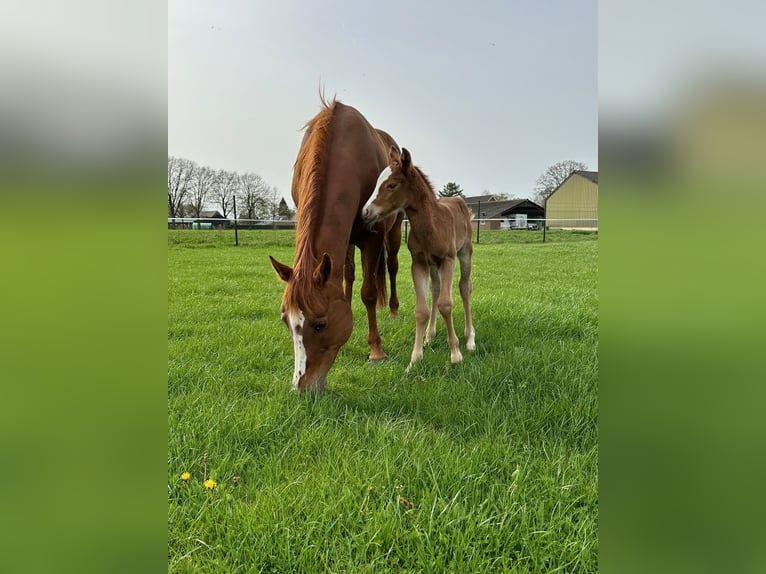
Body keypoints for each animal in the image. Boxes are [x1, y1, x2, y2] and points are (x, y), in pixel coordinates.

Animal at [268, 100, 402, 396]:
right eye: (285, 321)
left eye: (321, 324)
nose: (302, 388)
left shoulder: (373, 236)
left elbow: (369, 293)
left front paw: (376, 351)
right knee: (348, 273)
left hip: (394, 231)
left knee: (391, 268)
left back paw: (393, 310)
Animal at [362, 147, 474, 368]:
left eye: (392, 185)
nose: (365, 212)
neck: (431, 224)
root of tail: (459, 201)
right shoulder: (419, 262)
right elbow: (422, 309)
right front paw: (415, 358)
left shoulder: (447, 259)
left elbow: (446, 304)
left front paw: (455, 354)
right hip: (433, 264)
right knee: (436, 290)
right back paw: (430, 335)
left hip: (464, 252)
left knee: (464, 288)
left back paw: (470, 339)